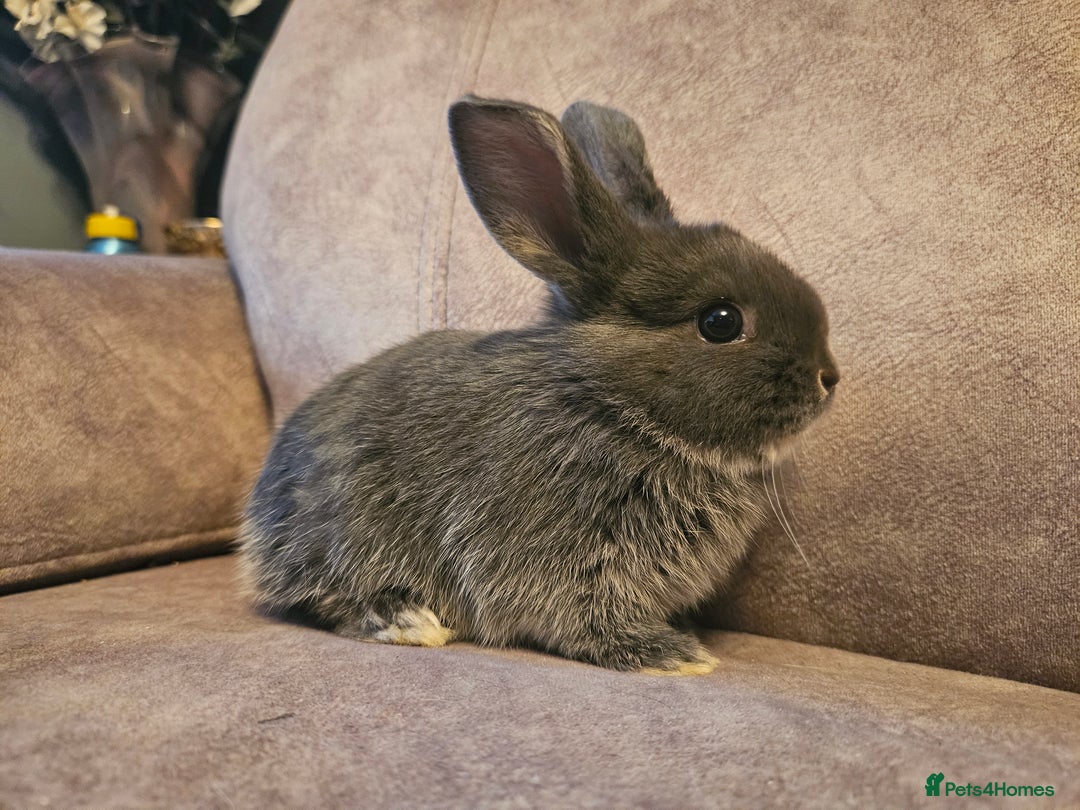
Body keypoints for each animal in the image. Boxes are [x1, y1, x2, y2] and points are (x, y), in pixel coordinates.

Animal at [239, 95, 839, 675]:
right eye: (720, 321)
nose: (828, 378)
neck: (612, 405)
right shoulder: (560, 555)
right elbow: (581, 615)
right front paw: (671, 655)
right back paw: (408, 620)